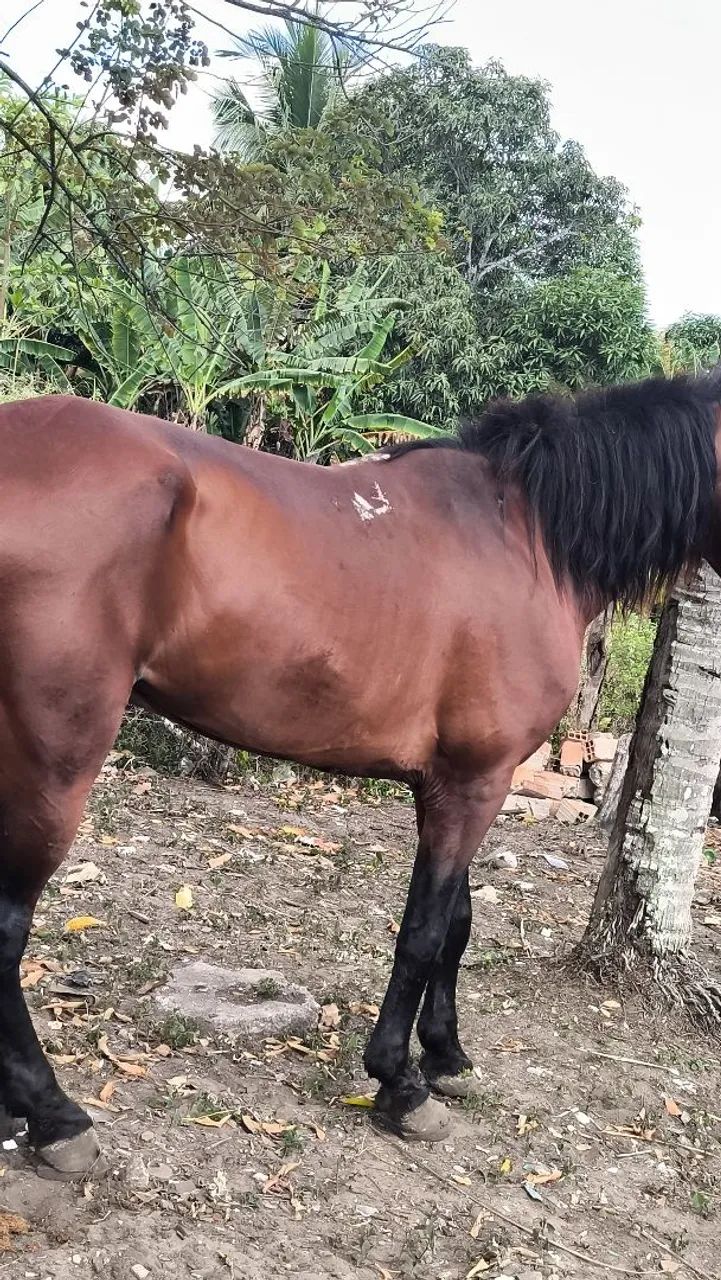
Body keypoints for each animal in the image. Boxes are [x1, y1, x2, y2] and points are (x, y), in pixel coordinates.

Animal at [0, 372, 720, 1178]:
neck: (529, 538)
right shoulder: (476, 781)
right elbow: (424, 931)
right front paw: (399, 1084)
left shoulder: (452, 782)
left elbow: (456, 924)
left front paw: (445, 1056)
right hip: (54, 761)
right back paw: (54, 1115)